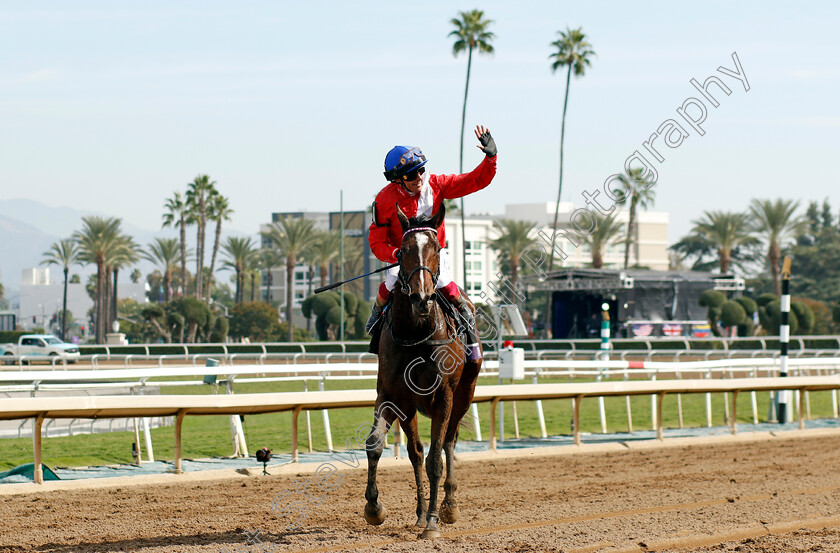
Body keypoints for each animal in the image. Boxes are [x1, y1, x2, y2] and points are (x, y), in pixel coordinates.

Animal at [360, 202, 480, 536]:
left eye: (437, 248)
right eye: (402, 250)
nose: (422, 297)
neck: (416, 333)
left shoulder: (444, 397)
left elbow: (435, 459)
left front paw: (433, 522)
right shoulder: (390, 395)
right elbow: (375, 445)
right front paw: (374, 508)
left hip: (464, 394)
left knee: (449, 441)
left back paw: (448, 506)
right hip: (410, 406)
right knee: (415, 451)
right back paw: (419, 512)